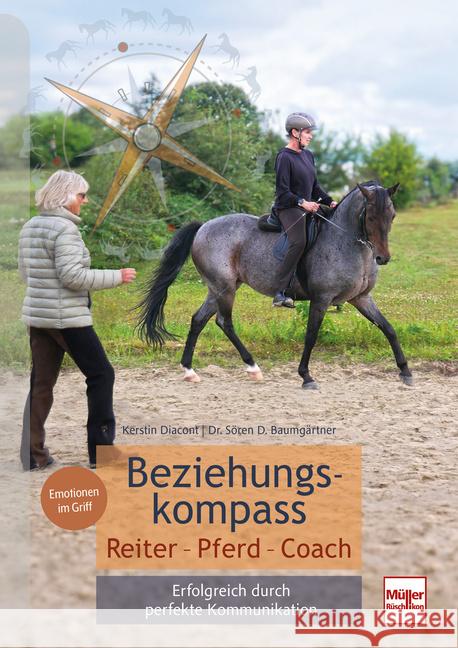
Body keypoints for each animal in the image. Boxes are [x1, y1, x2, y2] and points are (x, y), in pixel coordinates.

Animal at [137, 182, 413, 389]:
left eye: (392, 215)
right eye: (371, 216)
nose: (383, 258)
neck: (346, 242)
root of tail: (203, 226)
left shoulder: (362, 298)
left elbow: (389, 329)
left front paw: (405, 371)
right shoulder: (321, 299)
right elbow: (311, 336)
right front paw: (306, 376)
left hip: (219, 288)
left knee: (198, 320)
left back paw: (189, 370)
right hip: (224, 287)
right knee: (224, 322)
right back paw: (252, 367)